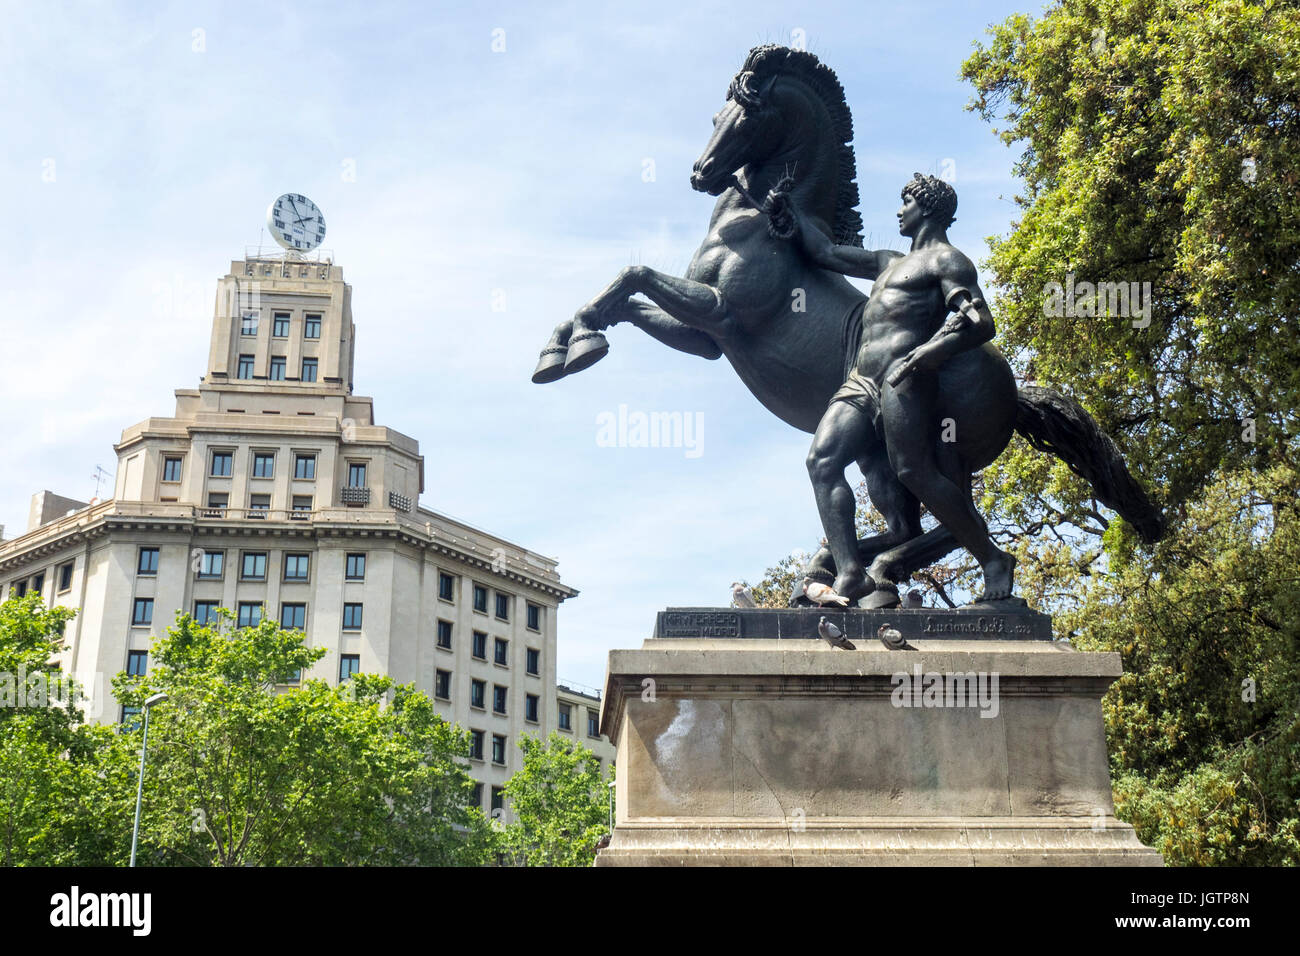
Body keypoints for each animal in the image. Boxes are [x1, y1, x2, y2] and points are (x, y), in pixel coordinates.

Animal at [533, 44, 1164, 606]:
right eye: (716, 116)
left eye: (749, 113)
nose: (700, 172)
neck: (755, 226)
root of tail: (1015, 389)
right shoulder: (705, 339)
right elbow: (627, 295)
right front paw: (565, 346)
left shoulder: (720, 312)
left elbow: (633, 272)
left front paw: (576, 346)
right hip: (876, 455)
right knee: (914, 522)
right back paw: (853, 573)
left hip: (939, 450)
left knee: (951, 518)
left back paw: (902, 578)